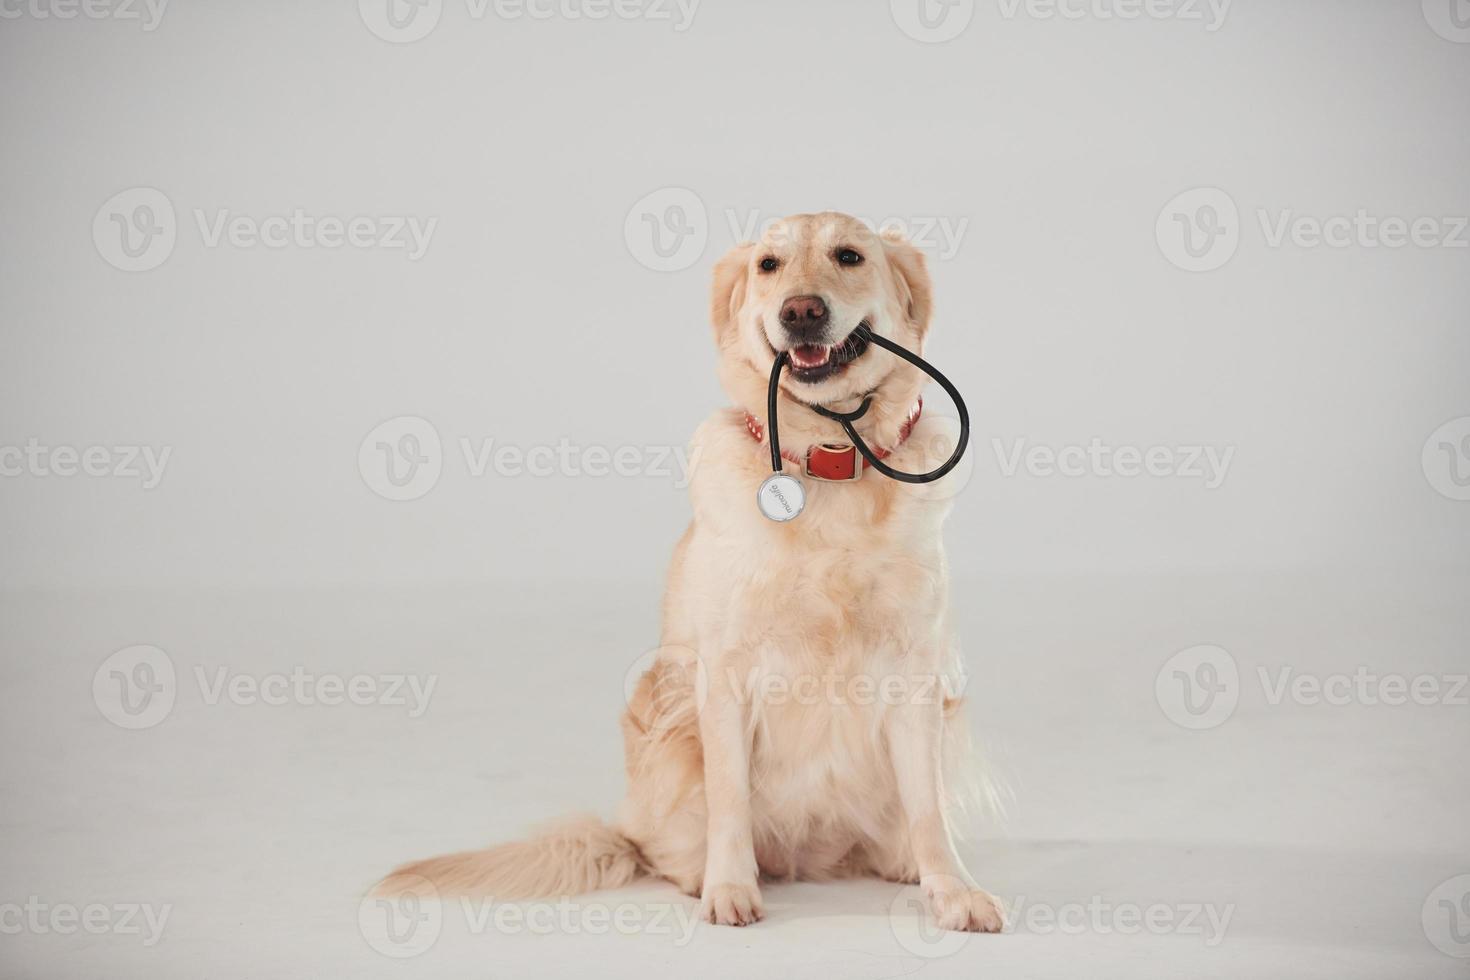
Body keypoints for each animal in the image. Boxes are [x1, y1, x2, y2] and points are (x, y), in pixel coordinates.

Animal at [376, 211, 1011, 934]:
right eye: (769, 265)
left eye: (849, 256)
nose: (800, 311)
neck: (828, 459)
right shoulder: (724, 674)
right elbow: (729, 799)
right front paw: (729, 887)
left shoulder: (915, 674)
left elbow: (928, 808)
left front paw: (953, 890)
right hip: (666, 730)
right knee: (662, 849)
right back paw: (697, 873)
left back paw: (901, 861)